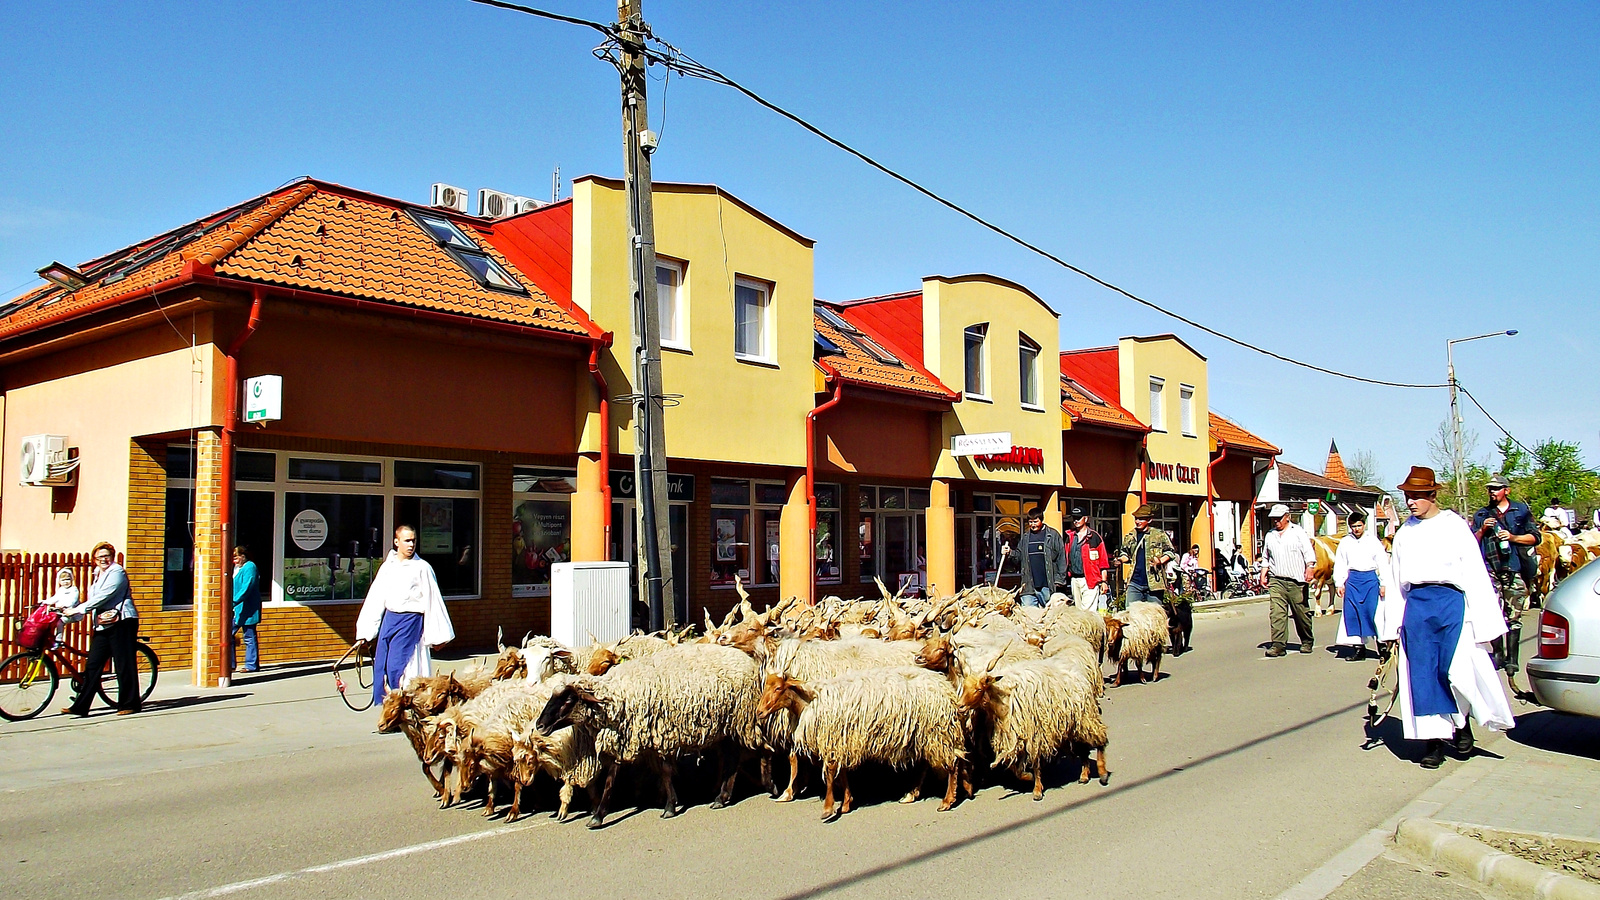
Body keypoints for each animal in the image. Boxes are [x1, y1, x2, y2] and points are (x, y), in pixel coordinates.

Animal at [534, 637, 764, 826]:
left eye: (569, 700)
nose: (540, 726)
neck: (618, 695)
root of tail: (746, 659)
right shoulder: (627, 735)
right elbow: (612, 777)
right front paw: (598, 816)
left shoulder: (659, 734)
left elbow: (665, 771)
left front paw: (669, 807)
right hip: (726, 726)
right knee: (731, 757)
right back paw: (722, 797)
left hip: (738, 720)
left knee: (733, 757)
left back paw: (722, 797)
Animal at [758, 666, 966, 819]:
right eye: (765, 687)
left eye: (778, 688)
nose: (759, 712)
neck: (810, 703)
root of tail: (945, 686)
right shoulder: (841, 741)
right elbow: (841, 773)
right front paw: (846, 803)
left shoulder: (833, 738)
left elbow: (831, 773)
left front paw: (828, 808)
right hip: (922, 734)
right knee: (924, 765)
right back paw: (911, 794)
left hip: (938, 731)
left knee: (953, 763)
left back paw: (947, 801)